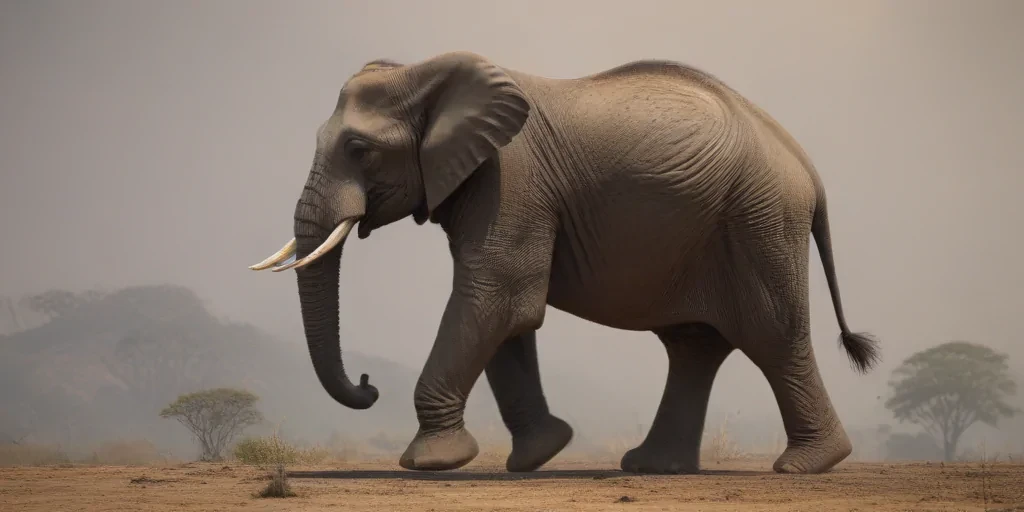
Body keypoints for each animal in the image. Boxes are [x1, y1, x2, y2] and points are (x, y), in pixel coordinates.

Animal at [249, 51, 881, 475]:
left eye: (359, 150)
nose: (367, 383)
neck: (428, 73)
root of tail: (804, 162)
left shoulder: (511, 177)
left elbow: (497, 297)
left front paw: (431, 464)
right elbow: (501, 313)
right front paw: (539, 454)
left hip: (758, 221)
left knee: (771, 337)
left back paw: (806, 466)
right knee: (693, 345)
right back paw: (651, 466)